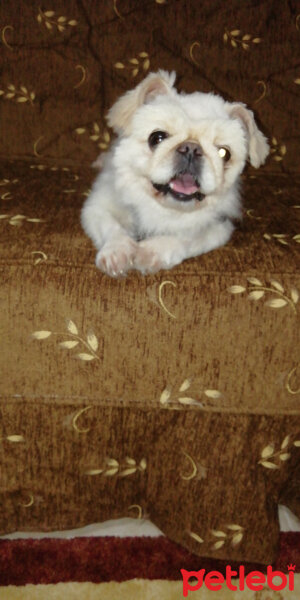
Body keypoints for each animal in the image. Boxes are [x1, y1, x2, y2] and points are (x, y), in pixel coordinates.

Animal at [81, 71, 268, 278]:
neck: (165, 209)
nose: (192, 148)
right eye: (157, 138)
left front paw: (149, 253)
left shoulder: (219, 227)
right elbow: (112, 227)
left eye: (223, 153)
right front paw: (117, 254)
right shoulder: (96, 207)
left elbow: (185, 237)